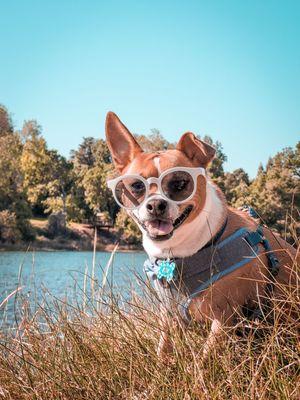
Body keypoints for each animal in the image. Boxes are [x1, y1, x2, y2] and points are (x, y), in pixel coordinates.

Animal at [104, 111, 296, 358]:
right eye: (136, 186)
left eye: (179, 183)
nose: (156, 205)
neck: (180, 252)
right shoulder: (170, 318)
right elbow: (163, 351)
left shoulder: (223, 319)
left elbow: (203, 361)